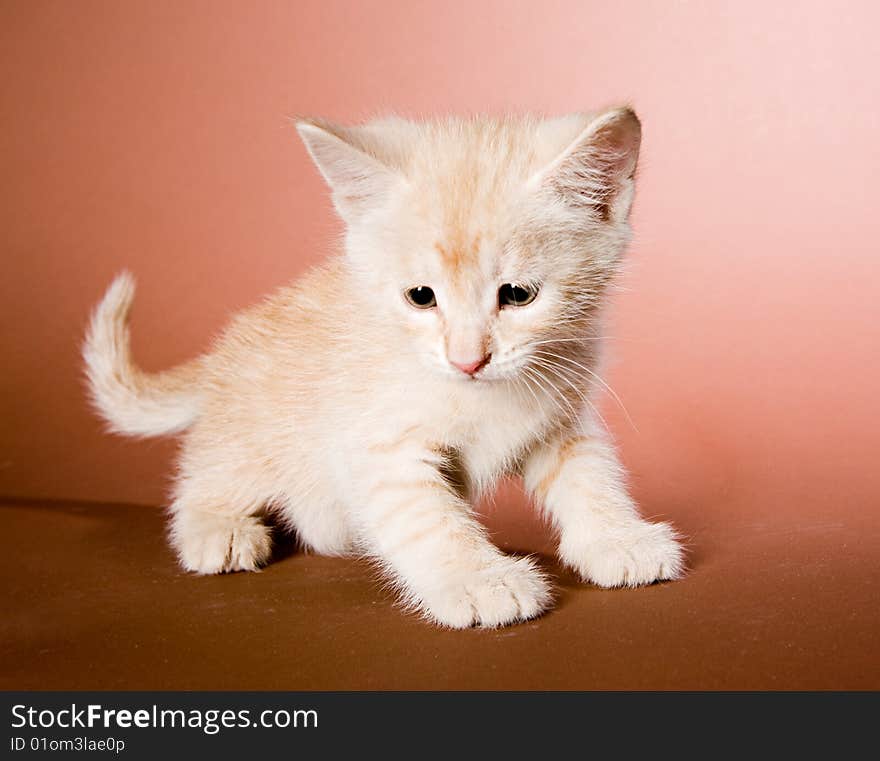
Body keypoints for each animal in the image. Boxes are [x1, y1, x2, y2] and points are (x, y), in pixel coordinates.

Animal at [84, 108, 688, 628]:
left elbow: (590, 474)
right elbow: (428, 517)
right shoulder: (378, 445)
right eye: (421, 297)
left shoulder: (561, 416)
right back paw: (217, 528)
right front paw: (479, 579)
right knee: (206, 472)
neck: (482, 394)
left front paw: (617, 538)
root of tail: (224, 351)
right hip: (249, 435)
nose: (469, 359)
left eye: (517, 294)